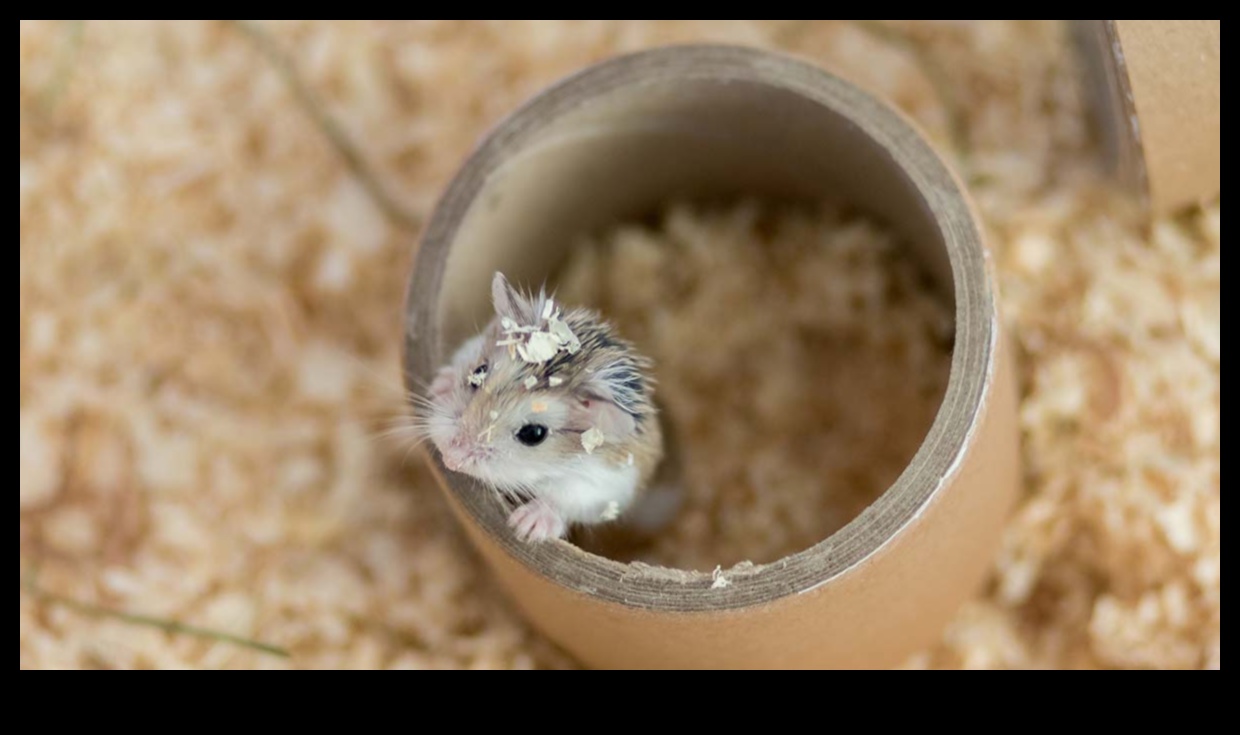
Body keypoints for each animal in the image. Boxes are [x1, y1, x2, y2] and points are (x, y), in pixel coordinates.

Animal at [421, 272, 663, 542]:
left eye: (534, 434)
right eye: (478, 373)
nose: (449, 459)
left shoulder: (601, 486)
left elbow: (562, 501)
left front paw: (524, 526)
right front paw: (439, 385)